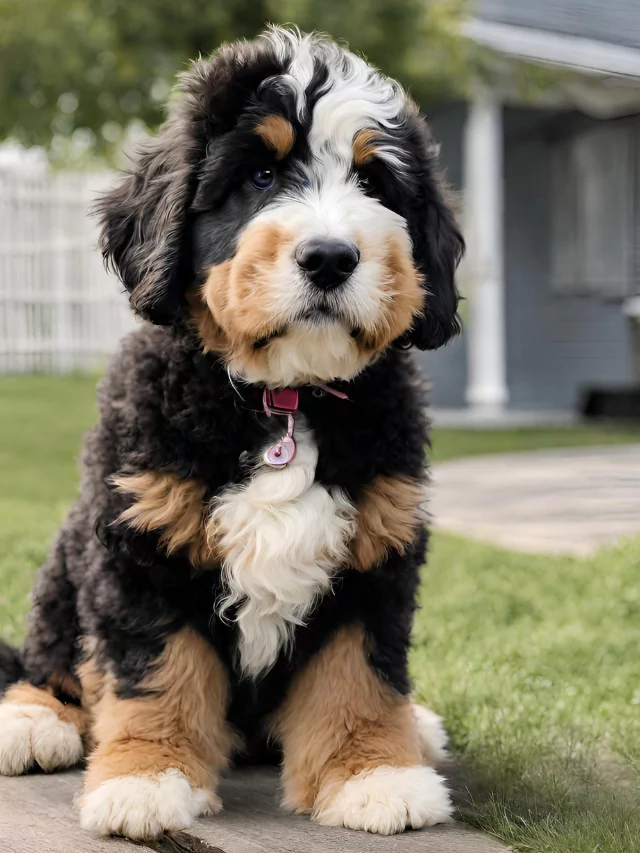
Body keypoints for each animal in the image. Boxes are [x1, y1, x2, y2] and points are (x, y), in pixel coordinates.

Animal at [0, 26, 460, 840]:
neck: (284, 398)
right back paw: (32, 719)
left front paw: (374, 774)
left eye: (374, 184)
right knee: (49, 649)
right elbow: (156, 670)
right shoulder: (140, 543)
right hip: (67, 556)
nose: (331, 256)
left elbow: (360, 673)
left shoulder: (376, 547)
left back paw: (420, 726)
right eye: (259, 174)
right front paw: (146, 778)